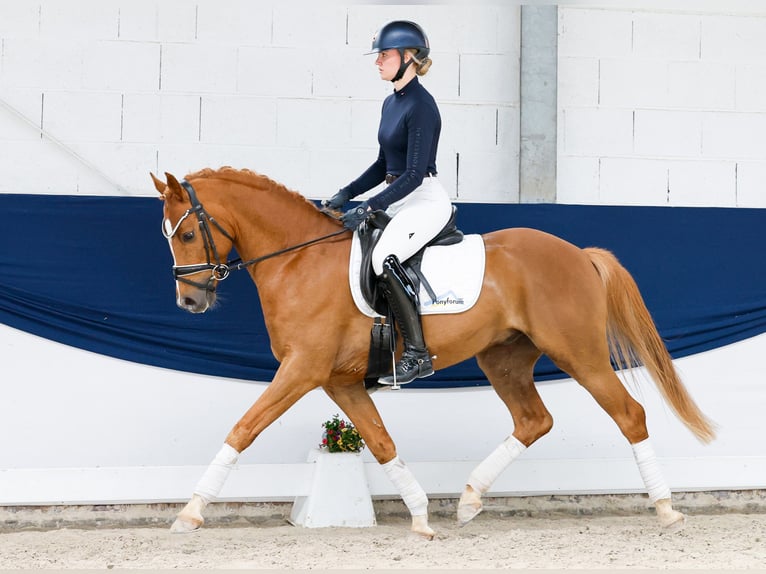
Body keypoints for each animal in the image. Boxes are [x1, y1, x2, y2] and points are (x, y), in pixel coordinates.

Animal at [151, 167, 715, 538]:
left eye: (187, 232)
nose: (188, 301)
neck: (299, 262)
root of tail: (578, 253)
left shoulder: (303, 369)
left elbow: (243, 428)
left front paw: (191, 511)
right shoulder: (338, 380)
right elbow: (381, 443)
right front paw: (422, 517)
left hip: (581, 354)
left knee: (629, 414)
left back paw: (667, 510)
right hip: (503, 359)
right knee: (533, 420)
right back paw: (468, 501)